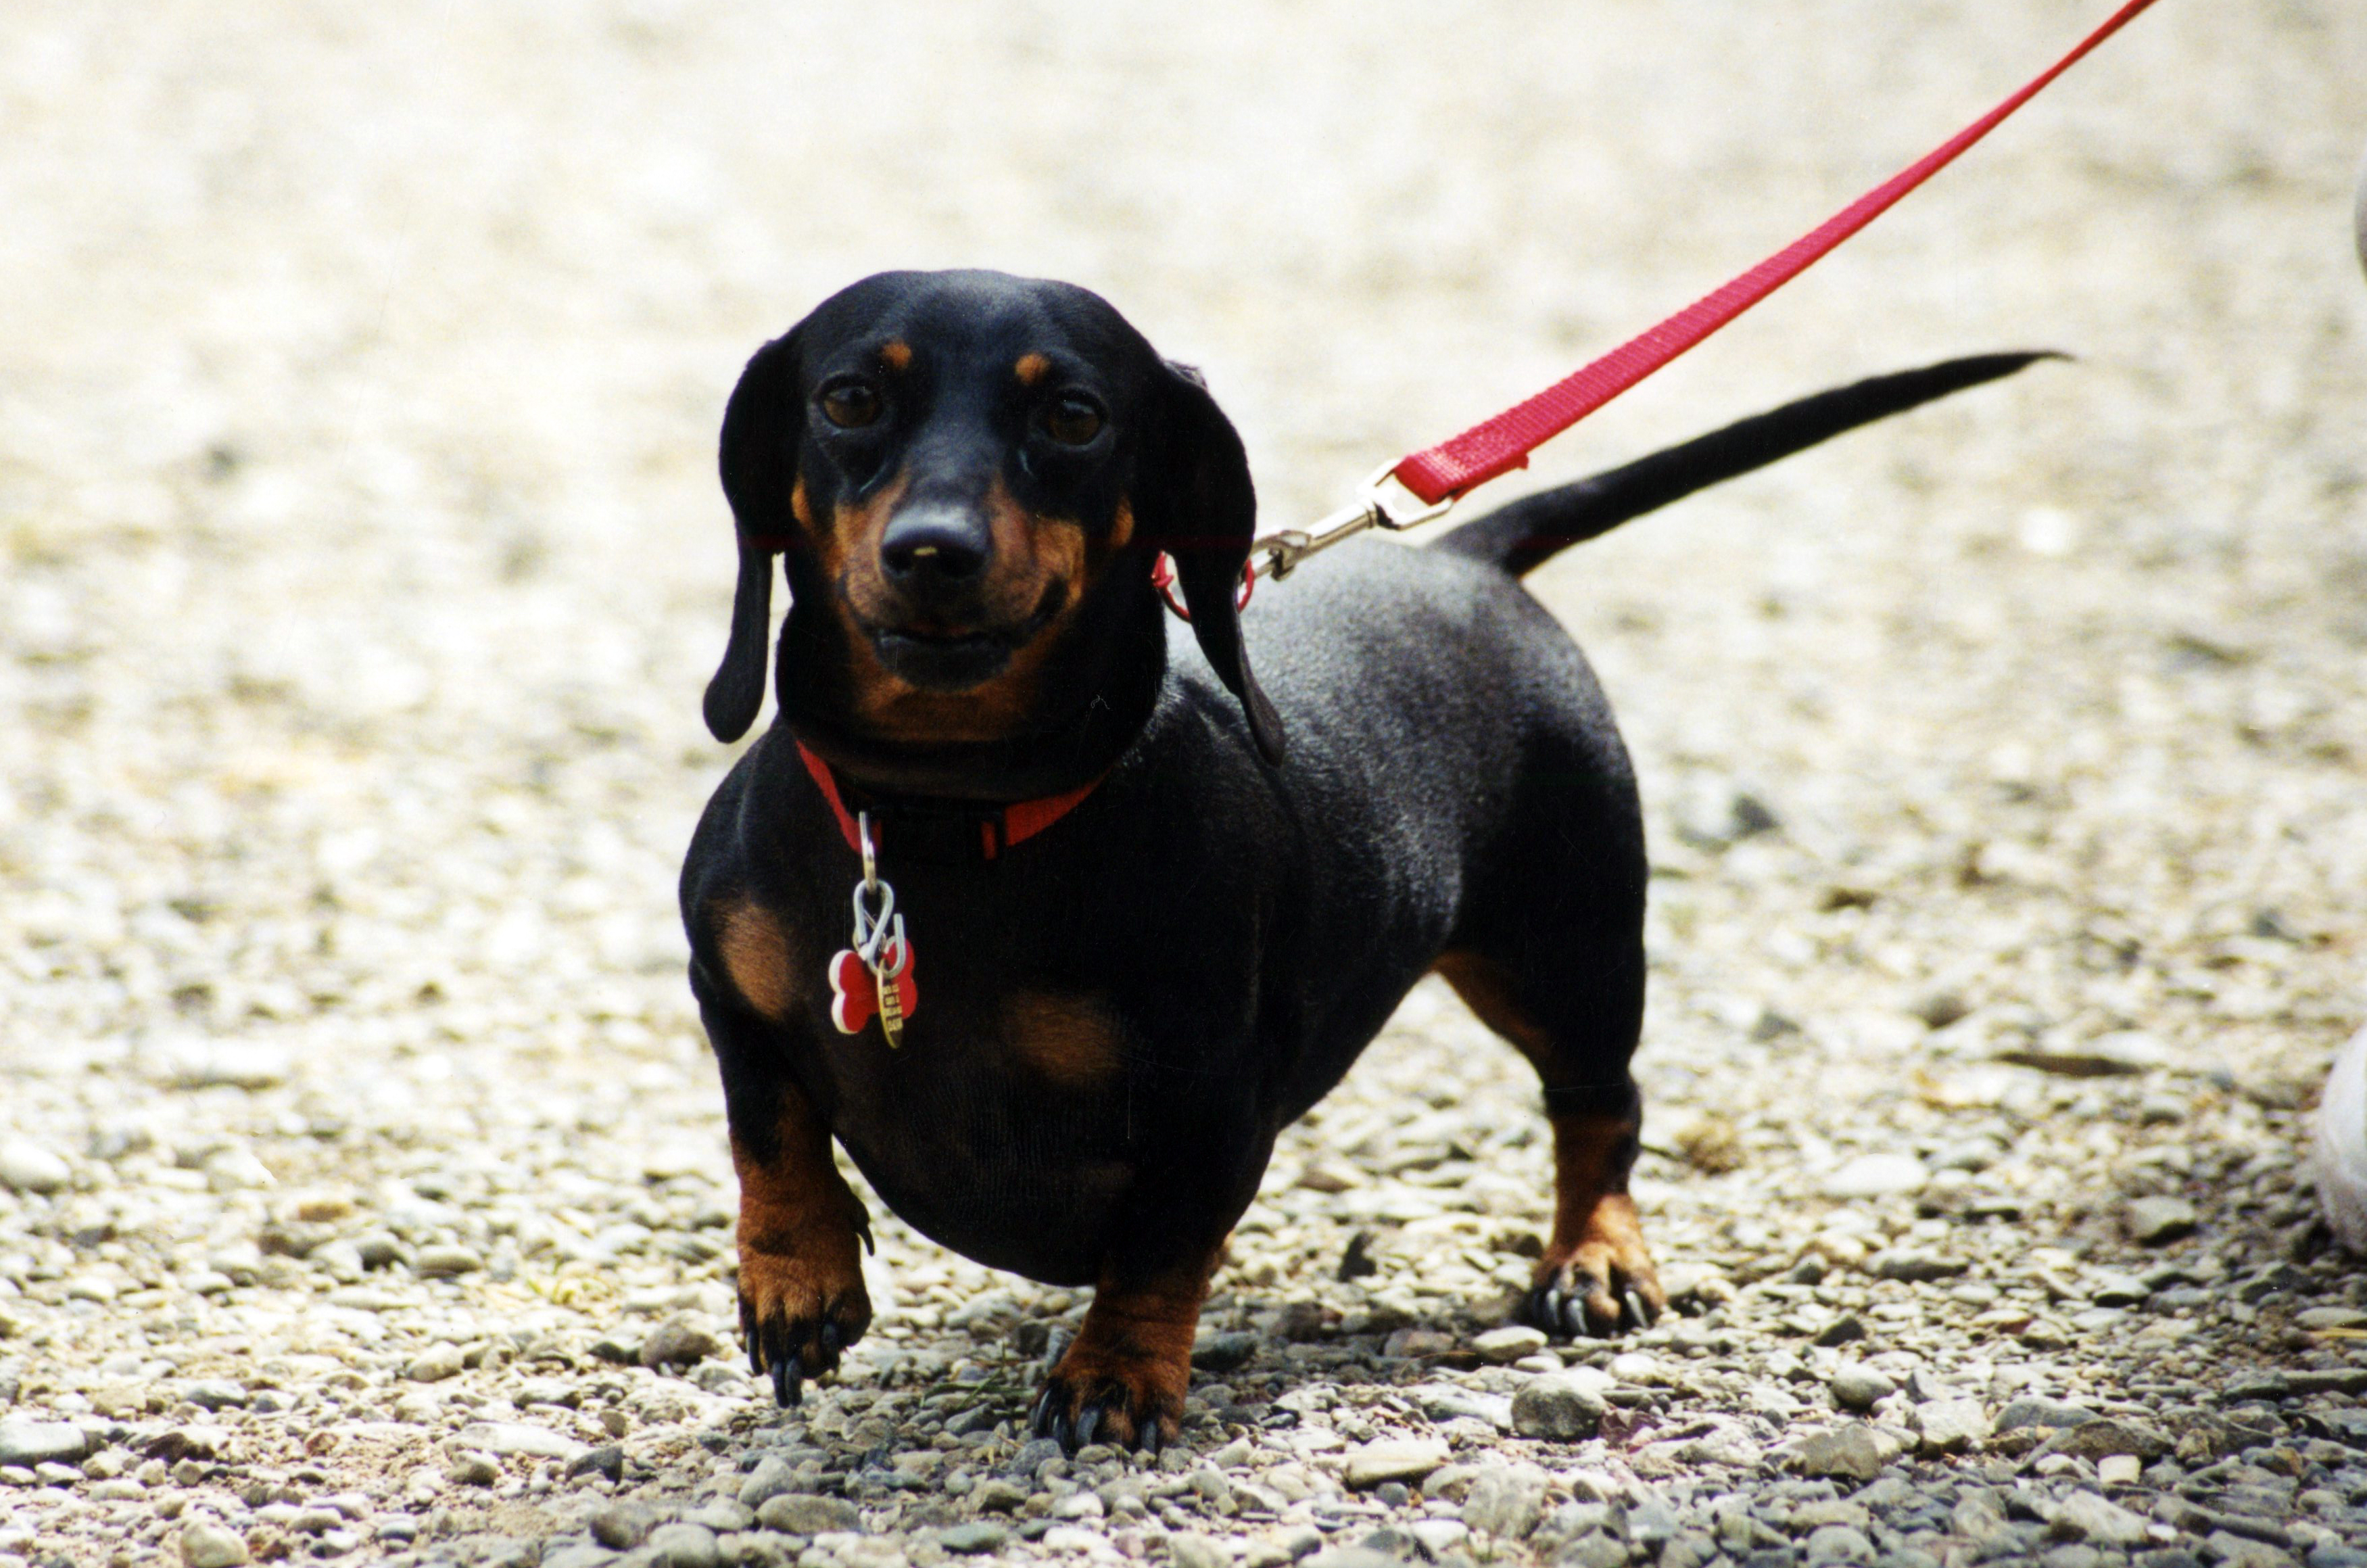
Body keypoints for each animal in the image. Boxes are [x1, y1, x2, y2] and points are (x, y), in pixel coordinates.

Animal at [677, 267, 2045, 1449]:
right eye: (849, 398)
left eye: (1074, 416)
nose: (932, 550)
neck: (944, 811)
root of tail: (1462, 558)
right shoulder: (722, 979)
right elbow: (769, 1124)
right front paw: (798, 1280)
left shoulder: (1215, 1098)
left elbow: (1160, 1247)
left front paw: (1114, 1374)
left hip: (1565, 949)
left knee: (1600, 1104)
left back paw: (1595, 1255)